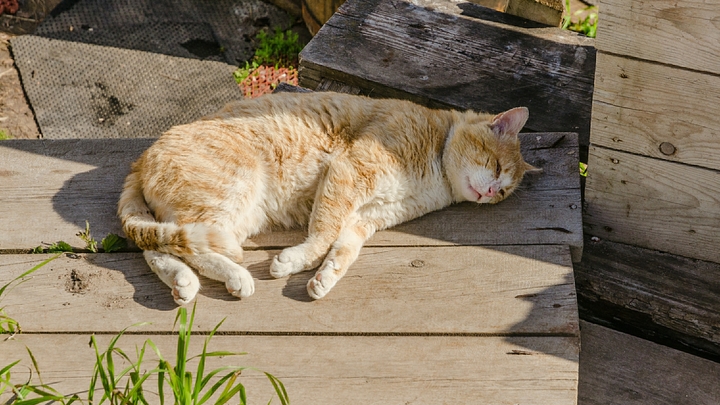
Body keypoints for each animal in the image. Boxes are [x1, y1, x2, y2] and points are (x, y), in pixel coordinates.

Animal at [116, 91, 536, 304]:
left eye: (504, 192)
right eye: (497, 166)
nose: (490, 192)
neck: (436, 173)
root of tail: (141, 158)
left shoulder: (366, 219)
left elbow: (343, 250)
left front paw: (324, 279)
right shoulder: (347, 173)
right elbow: (322, 234)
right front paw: (292, 262)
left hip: (236, 214)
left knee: (158, 247)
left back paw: (183, 284)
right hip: (232, 195)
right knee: (183, 245)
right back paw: (235, 277)